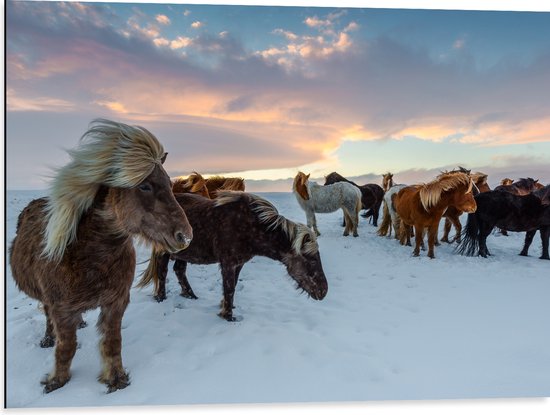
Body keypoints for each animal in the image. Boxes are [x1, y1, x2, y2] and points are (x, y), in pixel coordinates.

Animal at [7, 119, 194, 394]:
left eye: (171, 185)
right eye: (145, 185)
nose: (185, 236)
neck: (90, 257)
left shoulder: (116, 303)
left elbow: (112, 342)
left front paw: (116, 379)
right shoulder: (61, 308)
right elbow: (66, 347)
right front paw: (56, 381)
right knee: (47, 315)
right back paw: (48, 338)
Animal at [138, 192, 330, 322]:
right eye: (311, 259)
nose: (323, 291)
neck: (250, 226)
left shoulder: (238, 264)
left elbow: (233, 286)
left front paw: (225, 307)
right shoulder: (228, 263)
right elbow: (229, 288)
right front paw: (228, 316)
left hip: (184, 253)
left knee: (179, 270)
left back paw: (191, 296)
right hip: (164, 252)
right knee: (162, 273)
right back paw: (161, 298)